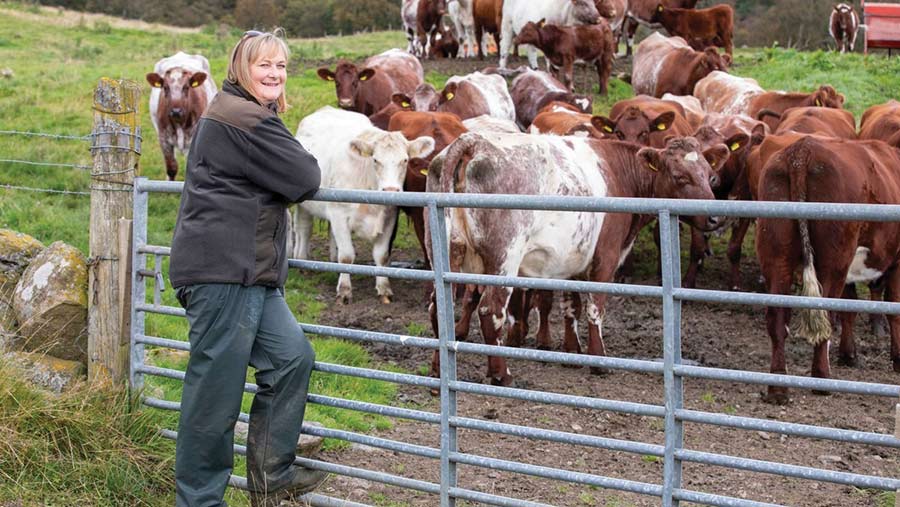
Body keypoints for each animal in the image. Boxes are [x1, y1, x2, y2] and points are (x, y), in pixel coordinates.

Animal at [148, 51, 220, 181]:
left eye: (186, 87)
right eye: (165, 88)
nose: (176, 111)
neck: (179, 123)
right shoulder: (164, 139)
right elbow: (171, 167)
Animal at [296, 106, 436, 304]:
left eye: (405, 160)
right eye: (375, 160)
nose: (390, 189)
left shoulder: (389, 217)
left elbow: (381, 255)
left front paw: (384, 288)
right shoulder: (339, 214)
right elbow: (346, 255)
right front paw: (344, 291)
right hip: (305, 205)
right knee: (304, 229)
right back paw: (302, 261)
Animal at [756, 135, 900, 404]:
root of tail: (801, 151)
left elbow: (850, 309)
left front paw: (849, 354)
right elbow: (892, 309)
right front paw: (897, 359)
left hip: (776, 253)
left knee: (777, 316)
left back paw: (778, 387)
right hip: (834, 260)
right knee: (825, 312)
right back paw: (822, 378)